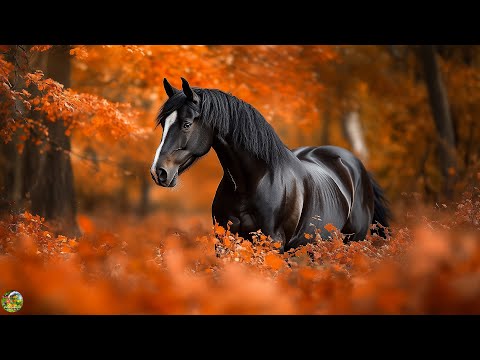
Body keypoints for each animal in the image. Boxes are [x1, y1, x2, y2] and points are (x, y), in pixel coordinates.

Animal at [150, 77, 390, 252]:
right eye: (163, 124)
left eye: (186, 124)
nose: (158, 172)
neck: (251, 183)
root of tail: (354, 165)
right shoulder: (225, 241)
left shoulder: (272, 243)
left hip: (352, 242)